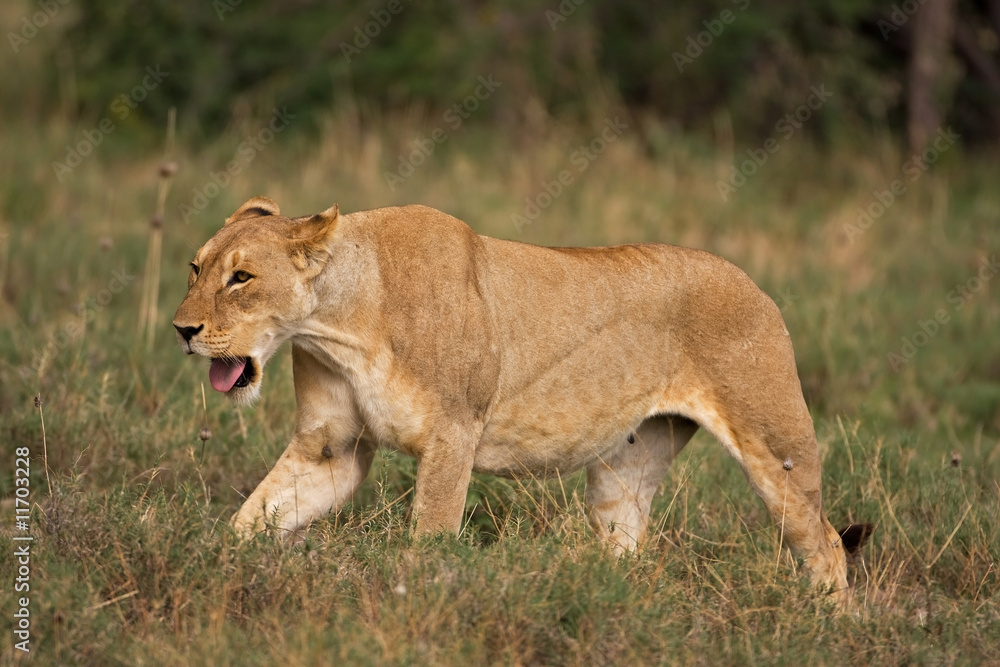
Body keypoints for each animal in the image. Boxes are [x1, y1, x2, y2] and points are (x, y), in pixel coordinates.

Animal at [174, 196, 870, 605]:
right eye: (196, 268)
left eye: (242, 277)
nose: (182, 330)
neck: (338, 319)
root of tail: (756, 284)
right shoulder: (331, 448)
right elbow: (257, 515)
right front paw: (213, 566)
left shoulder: (454, 433)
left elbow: (430, 539)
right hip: (625, 469)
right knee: (625, 548)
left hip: (776, 449)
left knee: (827, 544)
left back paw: (824, 628)